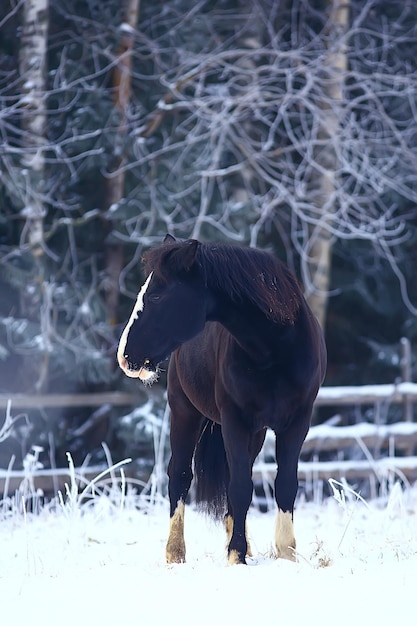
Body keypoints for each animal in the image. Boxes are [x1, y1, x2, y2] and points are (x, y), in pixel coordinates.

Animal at [117, 235, 324, 564]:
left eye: (158, 297)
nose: (125, 356)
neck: (276, 348)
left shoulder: (296, 422)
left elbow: (284, 485)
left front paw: (286, 554)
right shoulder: (234, 420)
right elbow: (239, 487)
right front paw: (236, 555)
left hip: (257, 432)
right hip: (185, 413)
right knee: (180, 475)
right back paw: (175, 552)